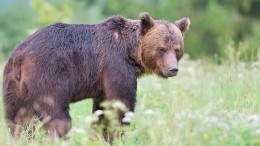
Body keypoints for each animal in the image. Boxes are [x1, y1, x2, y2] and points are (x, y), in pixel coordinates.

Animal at [1, 12, 189, 138]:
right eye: (162, 49)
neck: (130, 52)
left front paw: (99, 135)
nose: (173, 69)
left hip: (13, 85)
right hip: (48, 75)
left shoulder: (102, 81)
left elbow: (102, 109)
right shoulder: (115, 66)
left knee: (17, 119)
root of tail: (21, 56)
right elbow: (120, 104)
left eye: (177, 49)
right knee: (57, 116)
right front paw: (116, 135)